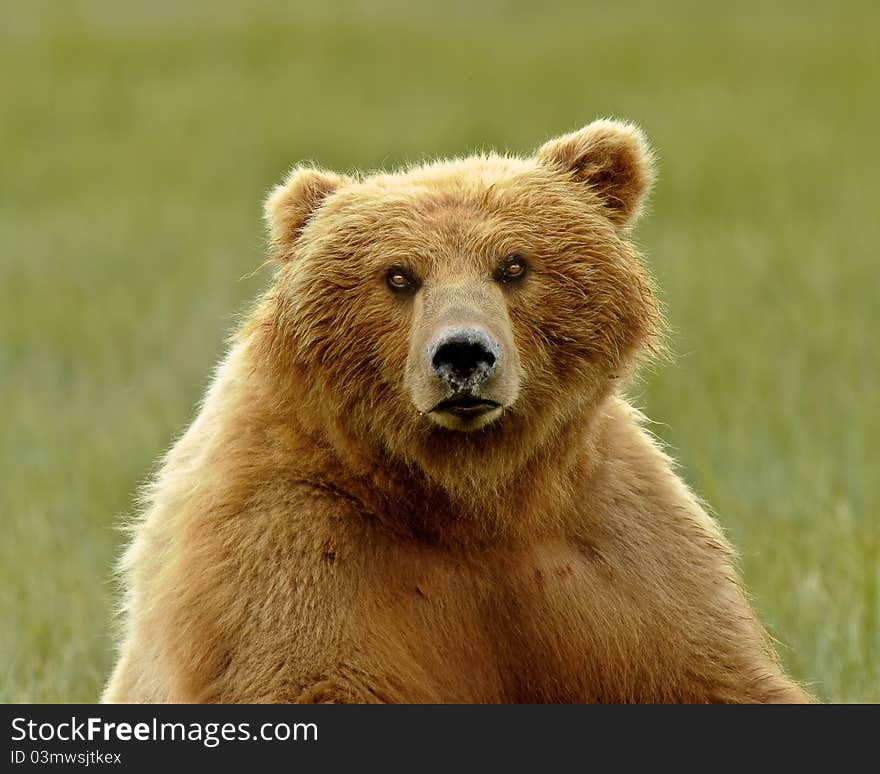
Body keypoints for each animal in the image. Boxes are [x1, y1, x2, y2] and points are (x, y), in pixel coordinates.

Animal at [103, 119, 812, 704]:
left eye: (514, 265)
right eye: (398, 276)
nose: (464, 354)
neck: (470, 495)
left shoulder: (616, 553)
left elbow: (715, 676)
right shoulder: (291, 547)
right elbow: (309, 676)